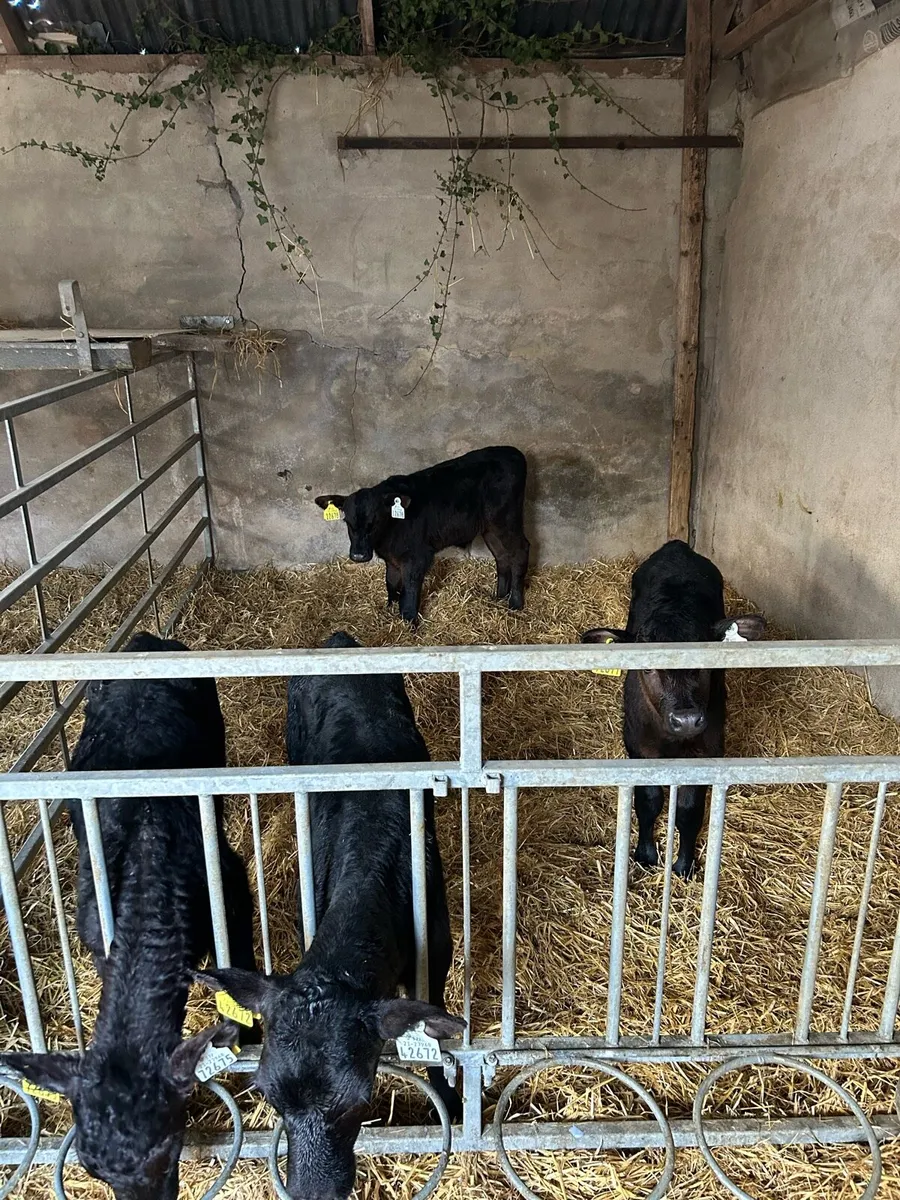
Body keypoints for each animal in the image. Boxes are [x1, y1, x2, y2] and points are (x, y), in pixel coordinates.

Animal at [195, 631, 465, 1200]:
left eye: (360, 1101)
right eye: (269, 1096)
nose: (311, 1191)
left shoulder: (437, 956)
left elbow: (433, 1035)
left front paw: (449, 1101)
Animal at [315, 445, 529, 624]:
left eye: (374, 523)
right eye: (347, 522)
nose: (358, 555)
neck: (389, 534)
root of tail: (512, 451)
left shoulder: (417, 556)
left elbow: (410, 589)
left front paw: (410, 622)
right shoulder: (392, 558)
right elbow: (391, 583)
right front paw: (390, 610)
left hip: (507, 521)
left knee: (520, 551)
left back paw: (515, 604)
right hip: (490, 528)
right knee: (502, 556)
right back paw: (499, 597)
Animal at [582, 540, 765, 878]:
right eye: (647, 665)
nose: (687, 720)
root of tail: (677, 546)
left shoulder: (707, 749)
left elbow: (689, 810)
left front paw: (683, 864)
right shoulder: (639, 748)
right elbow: (649, 800)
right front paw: (645, 854)